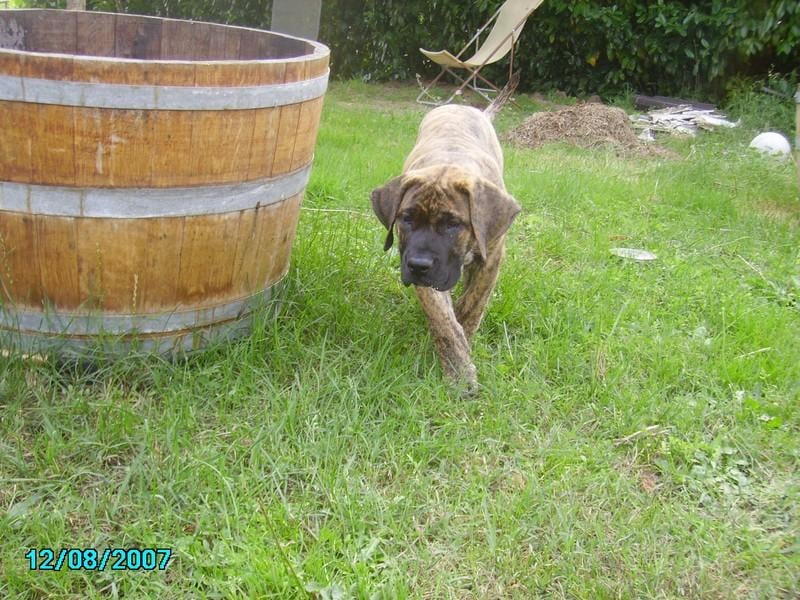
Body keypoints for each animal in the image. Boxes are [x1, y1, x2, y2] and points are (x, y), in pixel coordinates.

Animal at [371, 94, 520, 390]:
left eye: (452, 224)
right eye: (406, 219)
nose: (418, 265)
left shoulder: (491, 258)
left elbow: (473, 304)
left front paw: (465, 334)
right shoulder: (422, 272)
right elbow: (443, 320)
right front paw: (459, 370)